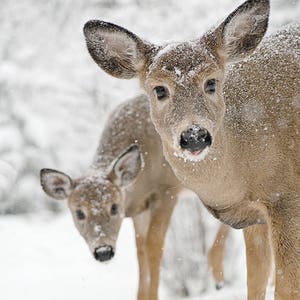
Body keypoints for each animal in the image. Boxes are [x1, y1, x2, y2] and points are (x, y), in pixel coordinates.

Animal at [39, 95, 227, 300]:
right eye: (79, 213)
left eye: (114, 207)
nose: (103, 251)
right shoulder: (140, 207)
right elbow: (140, 249)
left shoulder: (167, 190)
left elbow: (154, 245)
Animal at [82, 0, 300, 298]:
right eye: (159, 89)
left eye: (211, 82)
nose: (194, 135)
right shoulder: (254, 217)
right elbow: (255, 283)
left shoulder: (286, 198)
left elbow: (286, 287)